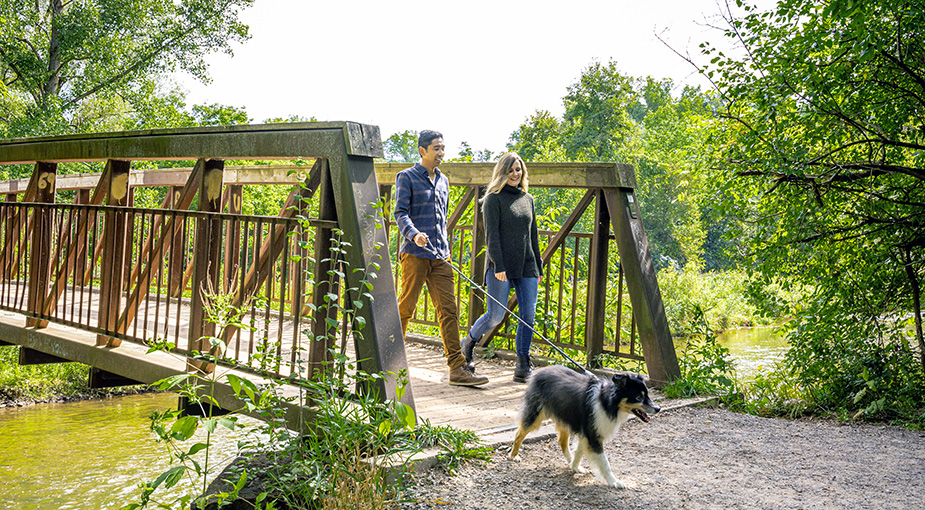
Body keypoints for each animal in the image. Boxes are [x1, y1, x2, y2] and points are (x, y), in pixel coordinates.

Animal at [512, 364, 656, 488]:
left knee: (562, 441)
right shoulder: (593, 435)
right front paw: (614, 482)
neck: (606, 401)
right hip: (536, 415)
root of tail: (540, 371)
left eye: (647, 395)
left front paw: (575, 467)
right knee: (519, 434)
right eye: (638, 397)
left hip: (565, 418)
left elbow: (579, 451)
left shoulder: (587, 432)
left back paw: (569, 461)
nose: (658, 409)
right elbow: (604, 462)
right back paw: (514, 456)